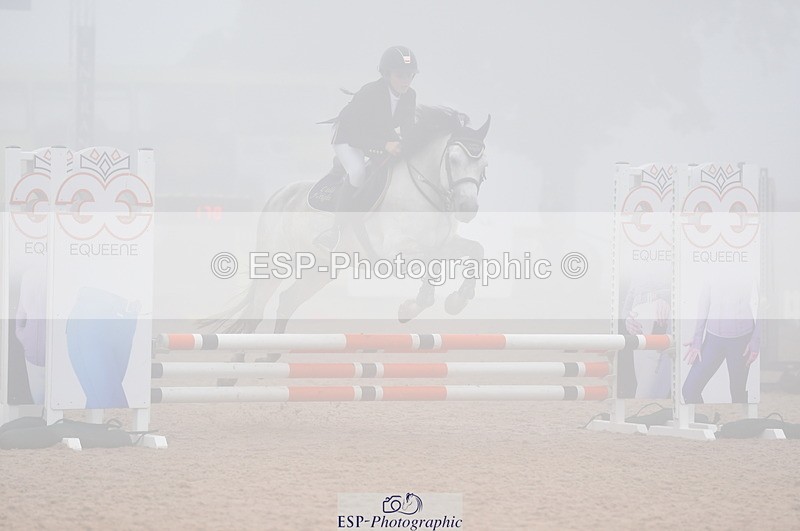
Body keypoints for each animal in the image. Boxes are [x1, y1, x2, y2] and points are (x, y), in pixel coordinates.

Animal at [209, 106, 491, 337]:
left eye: (484, 165)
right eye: (453, 160)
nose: (467, 209)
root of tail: (280, 194)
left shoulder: (443, 244)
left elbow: (477, 250)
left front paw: (458, 300)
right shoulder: (398, 251)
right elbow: (432, 265)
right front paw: (411, 307)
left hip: (320, 269)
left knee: (288, 300)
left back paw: (269, 356)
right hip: (273, 264)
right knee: (254, 313)